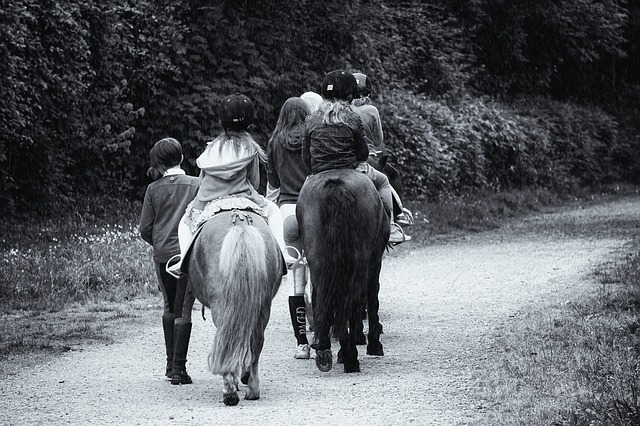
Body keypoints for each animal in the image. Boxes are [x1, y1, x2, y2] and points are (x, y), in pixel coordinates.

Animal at [186, 210, 284, 406]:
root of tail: (239, 222)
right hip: (263, 306)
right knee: (255, 341)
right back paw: (253, 389)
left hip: (223, 306)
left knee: (227, 337)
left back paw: (230, 390)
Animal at [298, 170, 388, 372]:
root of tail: (336, 184)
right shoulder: (374, 263)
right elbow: (372, 299)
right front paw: (373, 344)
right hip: (360, 262)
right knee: (353, 301)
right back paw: (351, 358)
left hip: (318, 261)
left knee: (321, 297)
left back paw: (323, 348)